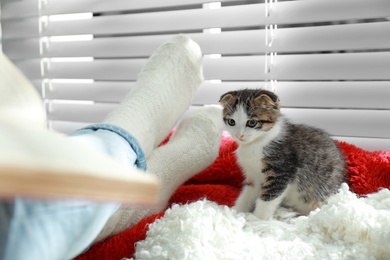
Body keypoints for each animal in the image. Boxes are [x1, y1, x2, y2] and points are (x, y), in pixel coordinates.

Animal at [219, 88, 348, 219]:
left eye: (251, 123)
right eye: (231, 122)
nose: (239, 135)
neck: (255, 143)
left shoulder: (281, 171)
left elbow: (268, 198)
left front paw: (258, 219)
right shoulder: (254, 176)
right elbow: (247, 194)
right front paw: (235, 212)